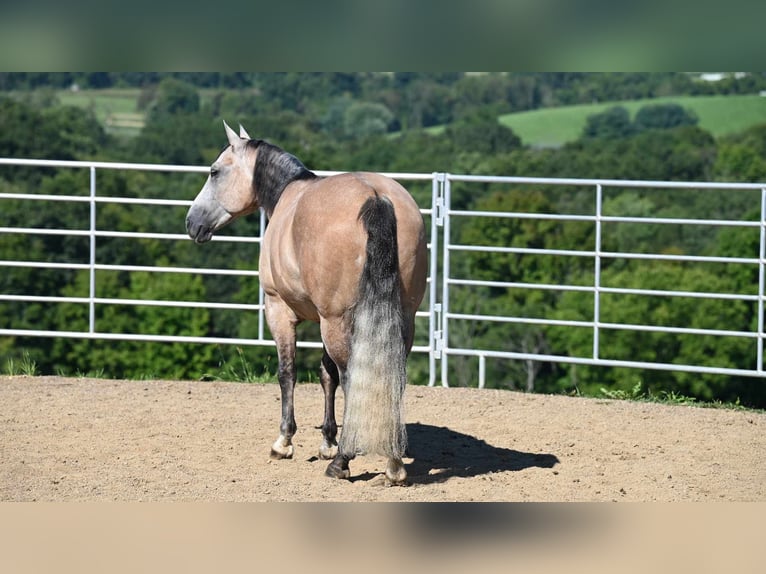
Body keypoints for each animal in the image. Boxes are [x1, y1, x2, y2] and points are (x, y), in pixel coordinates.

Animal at [184, 122, 428, 486]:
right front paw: (327, 441)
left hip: (337, 322)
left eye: (214, 172)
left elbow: (288, 372)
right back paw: (393, 463)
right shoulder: (324, 320)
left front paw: (284, 442)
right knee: (388, 379)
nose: (191, 222)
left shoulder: (279, 310)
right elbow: (327, 376)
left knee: (352, 379)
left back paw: (343, 461)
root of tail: (375, 197)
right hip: (398, 320)